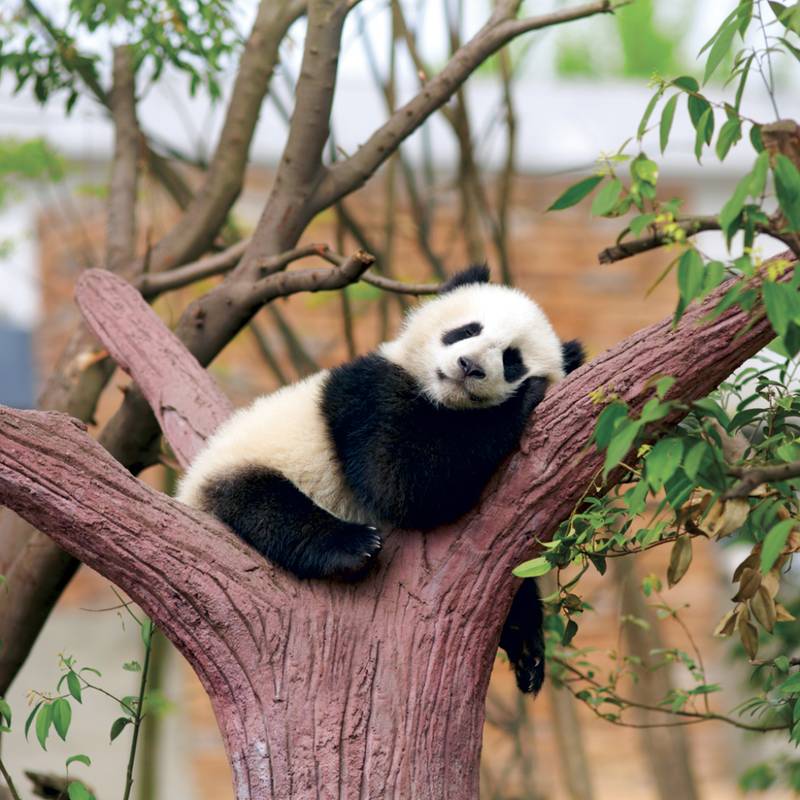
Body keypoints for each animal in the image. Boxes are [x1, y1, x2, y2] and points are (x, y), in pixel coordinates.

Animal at [177, 265, 584, 694]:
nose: (469, 365)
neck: (442, 400)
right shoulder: (368, 395)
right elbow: (401, 482)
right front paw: (524, 399)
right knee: (266, 505)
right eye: (467, 330)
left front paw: (527, 646)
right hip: (243, 465)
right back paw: (351, 546)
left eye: (511, 360)